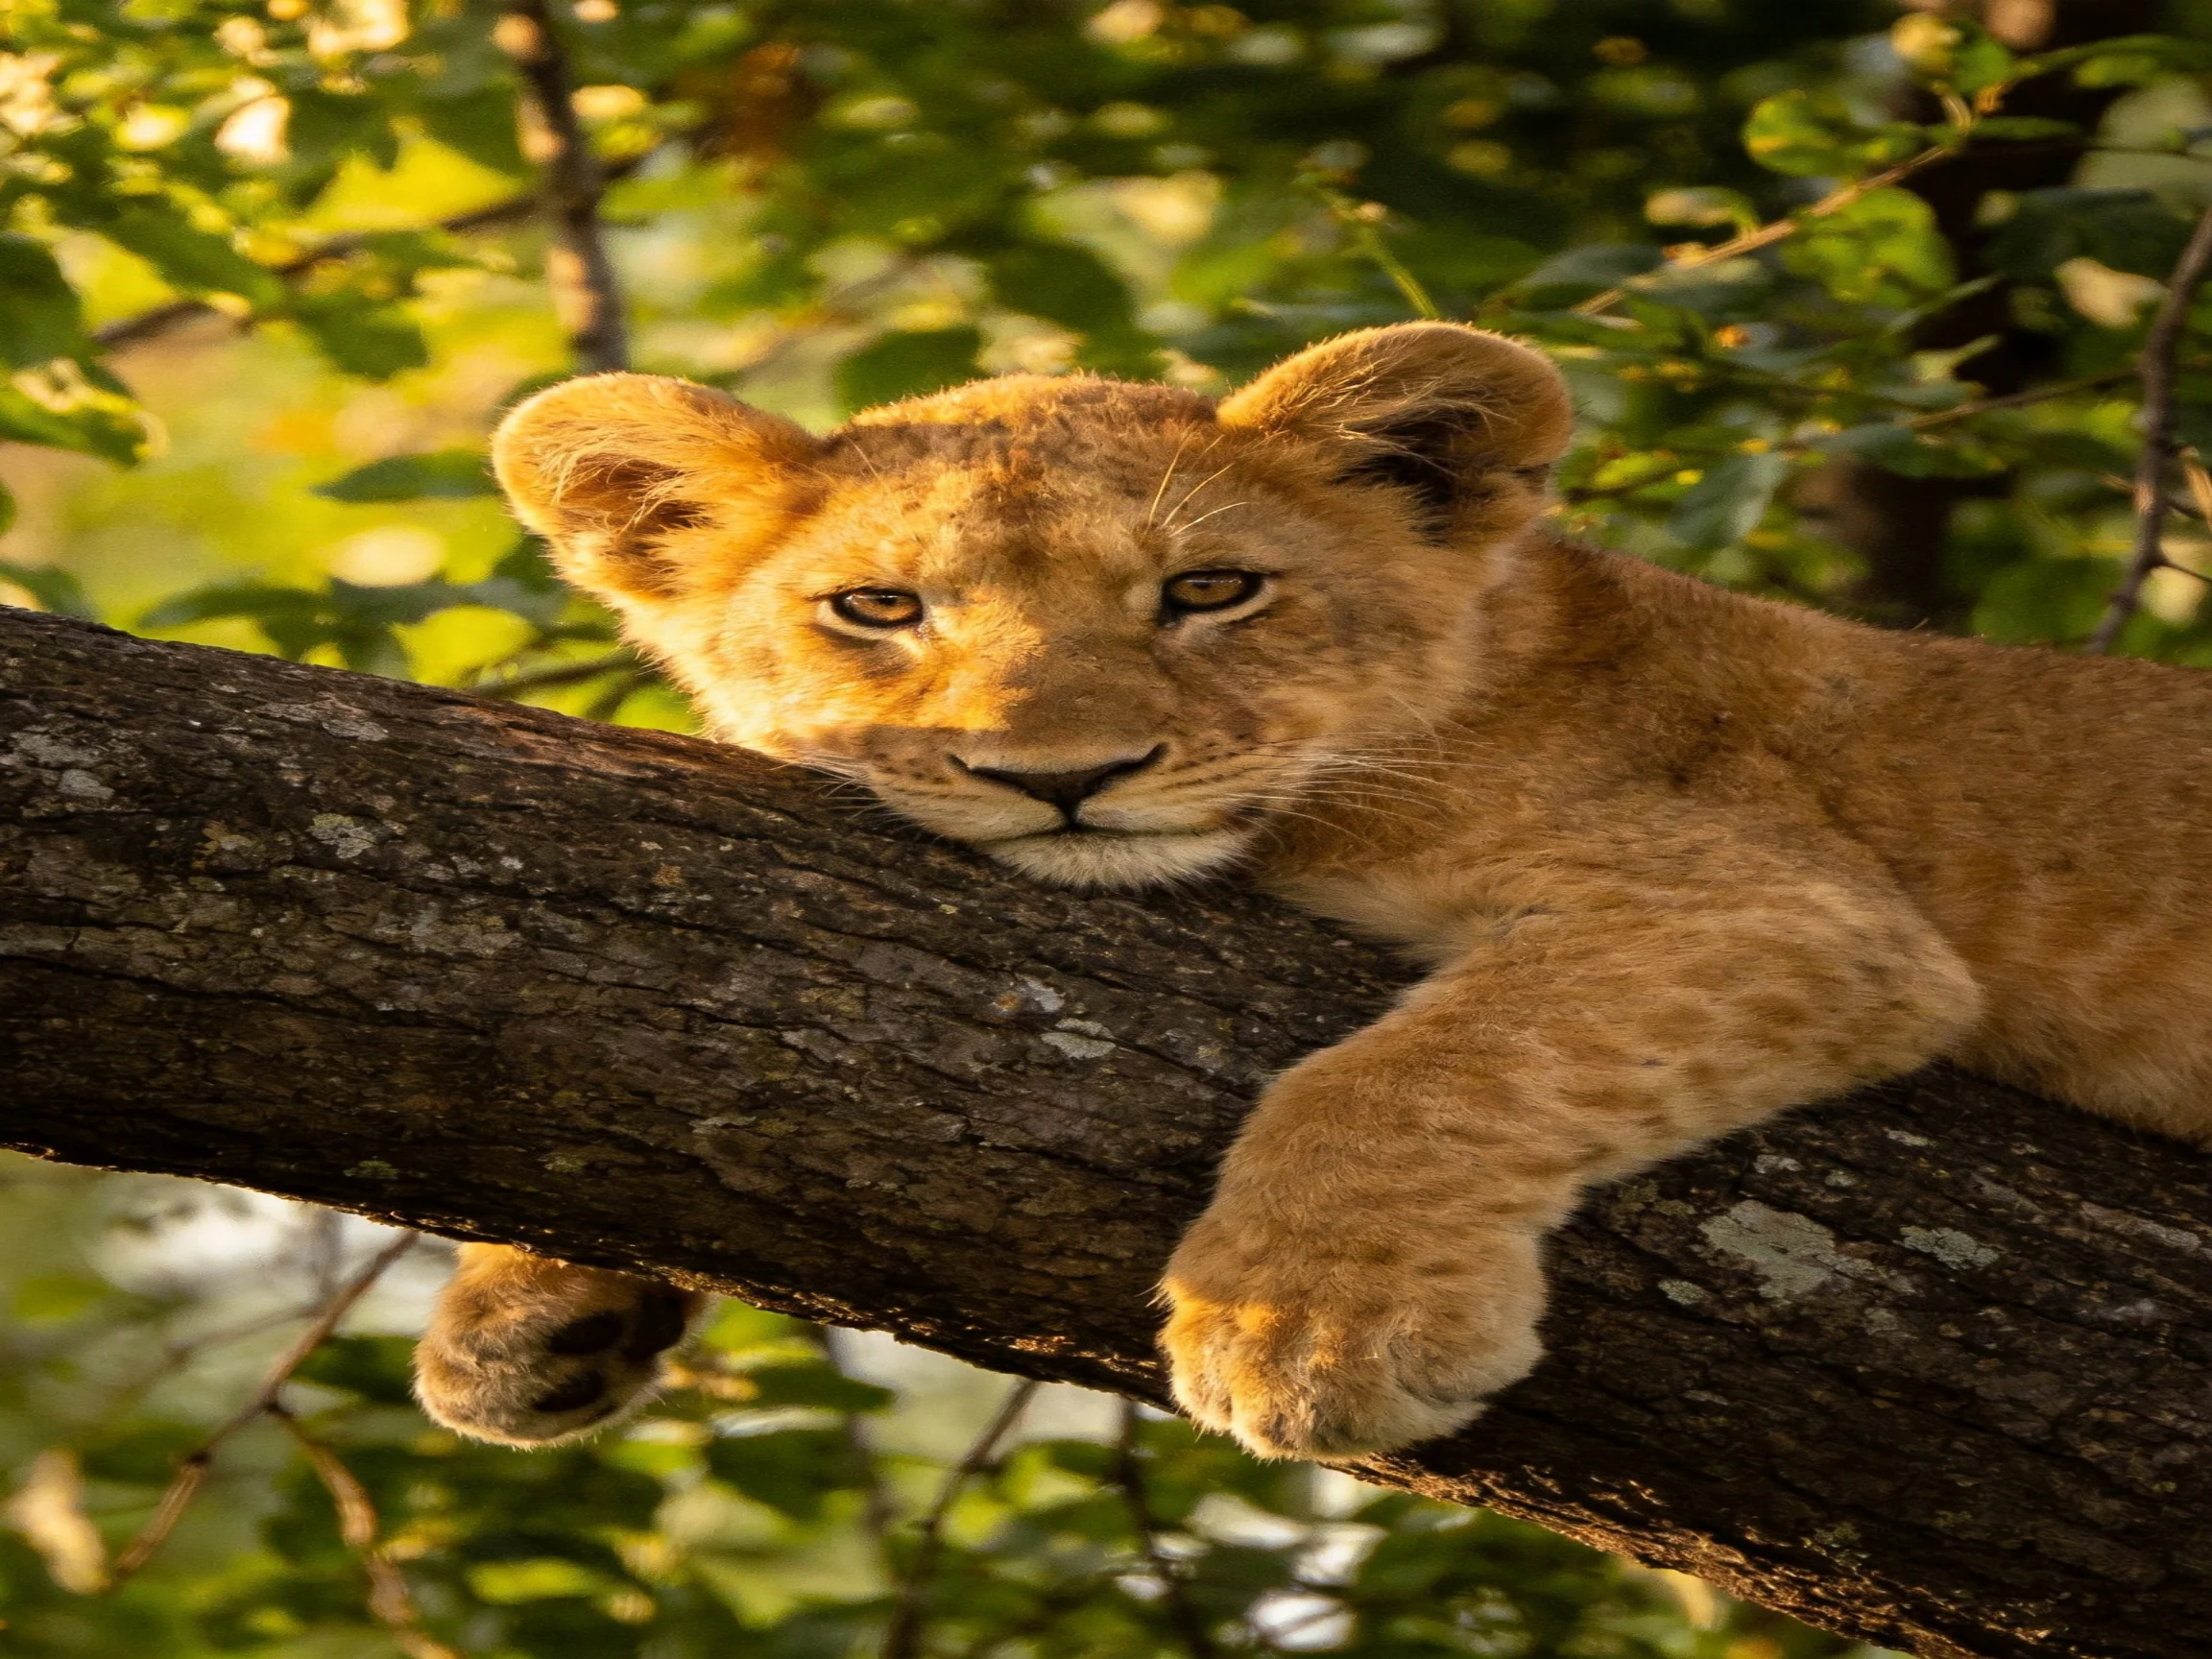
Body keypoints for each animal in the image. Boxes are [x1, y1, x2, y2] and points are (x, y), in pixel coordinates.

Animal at [411, 323, 2212, 1461]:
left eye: (1211, 590)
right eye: (878, 608)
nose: (1061, 777)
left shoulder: (1787, 907)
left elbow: (1418, 1072)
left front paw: (1307, 1326)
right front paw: (522, 1307)